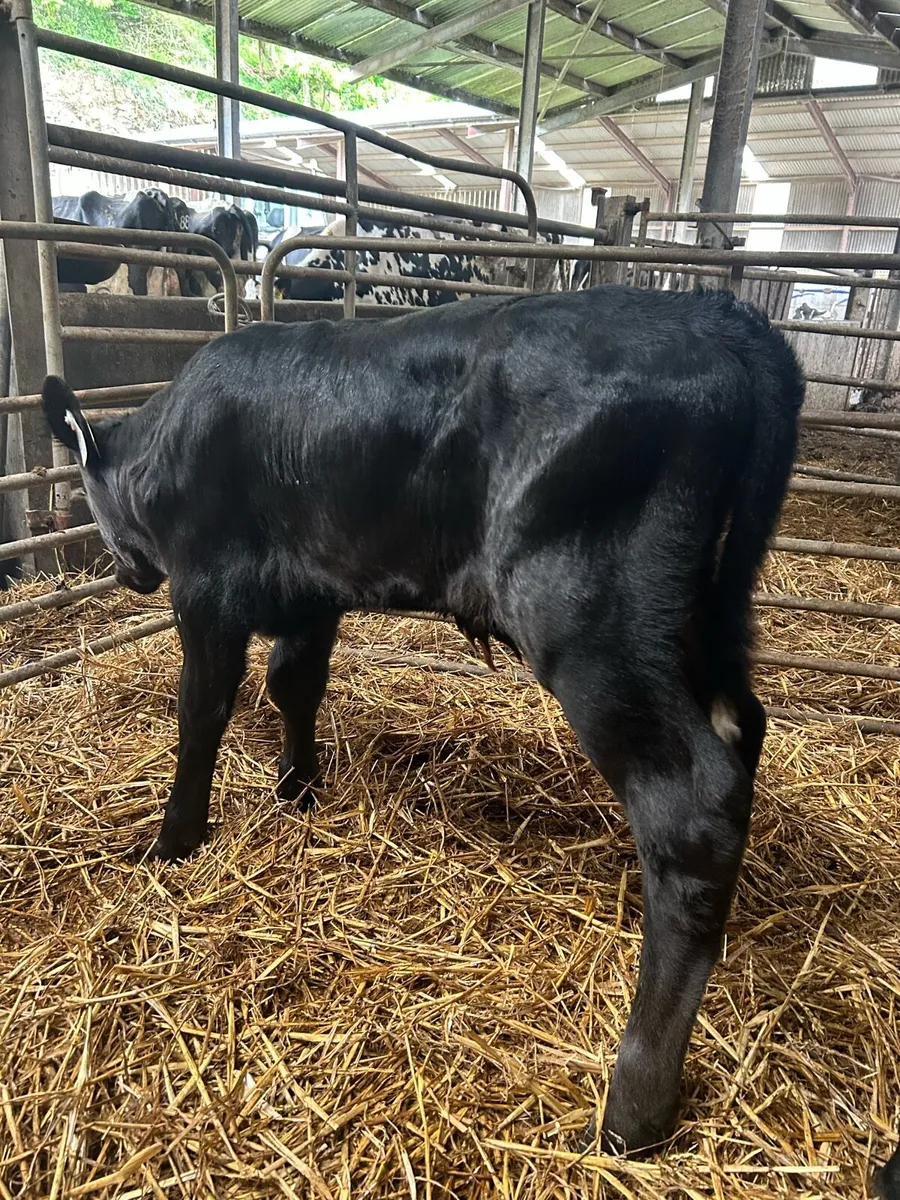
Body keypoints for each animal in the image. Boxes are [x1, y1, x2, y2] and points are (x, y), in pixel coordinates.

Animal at [44, 283, 808, 1164]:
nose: (124, 574)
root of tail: (724, 320)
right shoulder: (314, 592)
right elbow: (295, 685)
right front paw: (296, 788)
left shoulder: (205, 587)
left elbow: (201, 714)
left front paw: (174, 840)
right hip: (707, 618)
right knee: (742, 728)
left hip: (589, 616)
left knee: (690, 802)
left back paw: (633, 1105)